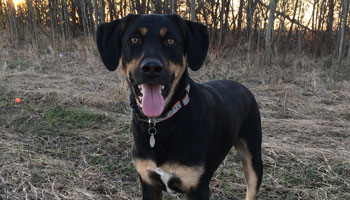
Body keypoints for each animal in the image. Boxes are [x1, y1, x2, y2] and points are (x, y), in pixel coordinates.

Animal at [96, 14, 262, 200]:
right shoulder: (148, 182)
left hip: (253, 158)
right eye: (134, 39)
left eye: (171, 40)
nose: (151, 68)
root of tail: (241, 86)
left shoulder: (197, 187)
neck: (161, 124)